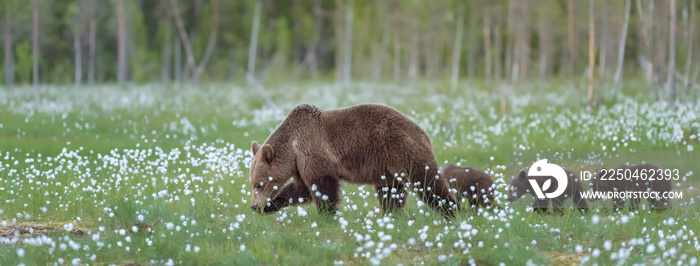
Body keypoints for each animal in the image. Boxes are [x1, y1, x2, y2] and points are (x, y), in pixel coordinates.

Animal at [247, 103, 460, 217]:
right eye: (253, 183)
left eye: (259, 183)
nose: (253, 205)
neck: (293, 146)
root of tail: (423, 132)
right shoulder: (300, 164)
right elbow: (301, 189)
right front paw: (269, 206)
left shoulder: (313, 151)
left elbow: (322, 186)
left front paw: (327, 216)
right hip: (388, 168)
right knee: (391, 192)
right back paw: (391, 215)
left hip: (401, 148)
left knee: (426, 180)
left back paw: (453, 211)